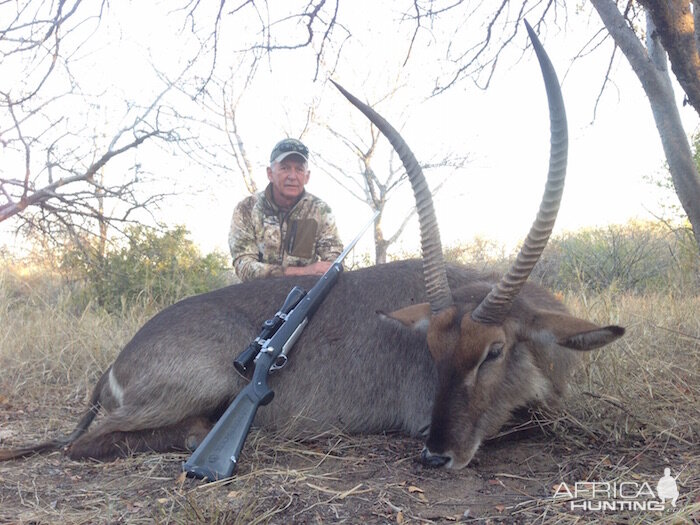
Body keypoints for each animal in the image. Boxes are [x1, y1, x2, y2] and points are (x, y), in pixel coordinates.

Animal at [0, 23, 624, 466]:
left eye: (493, 350)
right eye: (432, 351)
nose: (434, 453)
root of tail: (118, 360)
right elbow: (534, 421)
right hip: (202, 384)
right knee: (83, 445)